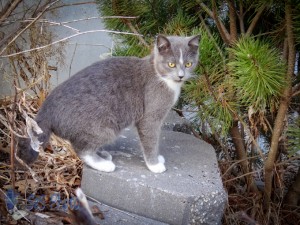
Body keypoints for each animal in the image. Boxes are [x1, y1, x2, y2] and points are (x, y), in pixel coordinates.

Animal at [16, 34, 199, 173]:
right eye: (171, 64)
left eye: (188, 64)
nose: (181, 75)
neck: (162, 77)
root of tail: (46, 109)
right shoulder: (150, 118)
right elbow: (150, 140)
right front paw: (154, 165)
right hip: (104, 127)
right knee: (81, 149)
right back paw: (103, 164)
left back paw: (102, 154)